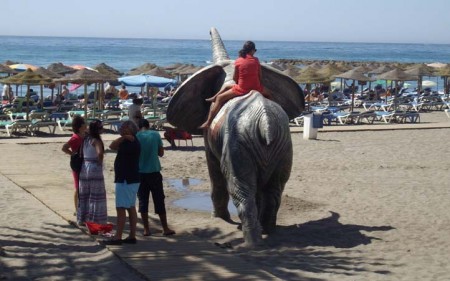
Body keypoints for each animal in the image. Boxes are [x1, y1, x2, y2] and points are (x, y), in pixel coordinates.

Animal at [166, 27, 306, 246]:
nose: (209, 29)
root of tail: (265, 123)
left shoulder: (211, 136)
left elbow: (214, 170)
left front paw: (218, 218)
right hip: (282, 145)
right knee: (274, 190)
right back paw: (269, 231)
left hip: (240, 145)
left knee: (241, 191)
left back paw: (252, 244)